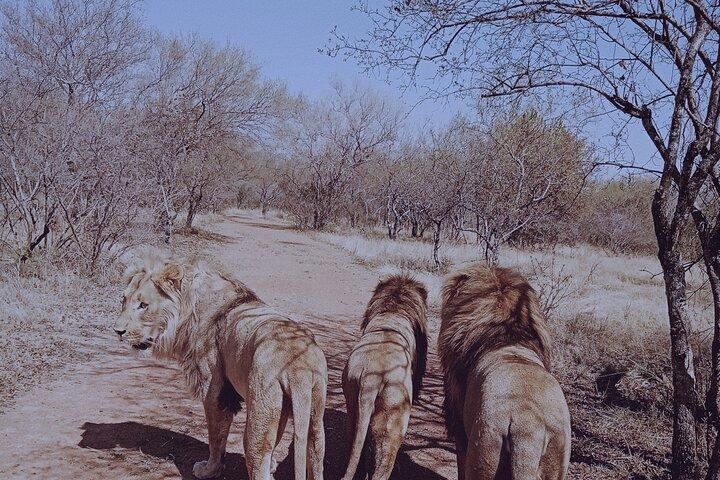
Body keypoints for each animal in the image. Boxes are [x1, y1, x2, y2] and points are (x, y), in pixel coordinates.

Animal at [113, 254, 327, 480]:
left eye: (143, 305)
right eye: (123, 300)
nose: (117, 331)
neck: (189, 307)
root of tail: (299, 369)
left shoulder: (214, 390)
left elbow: (216, 437)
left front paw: (209, 470)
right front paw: (273, 465)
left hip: (257, 423)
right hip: (314, 420)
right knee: (315, 450)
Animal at [341, 275, 428, 480]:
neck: (393, 310)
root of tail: (370, 378)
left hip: (353, 405)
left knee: (356, 446)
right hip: (394, 417)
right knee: (383, 464)